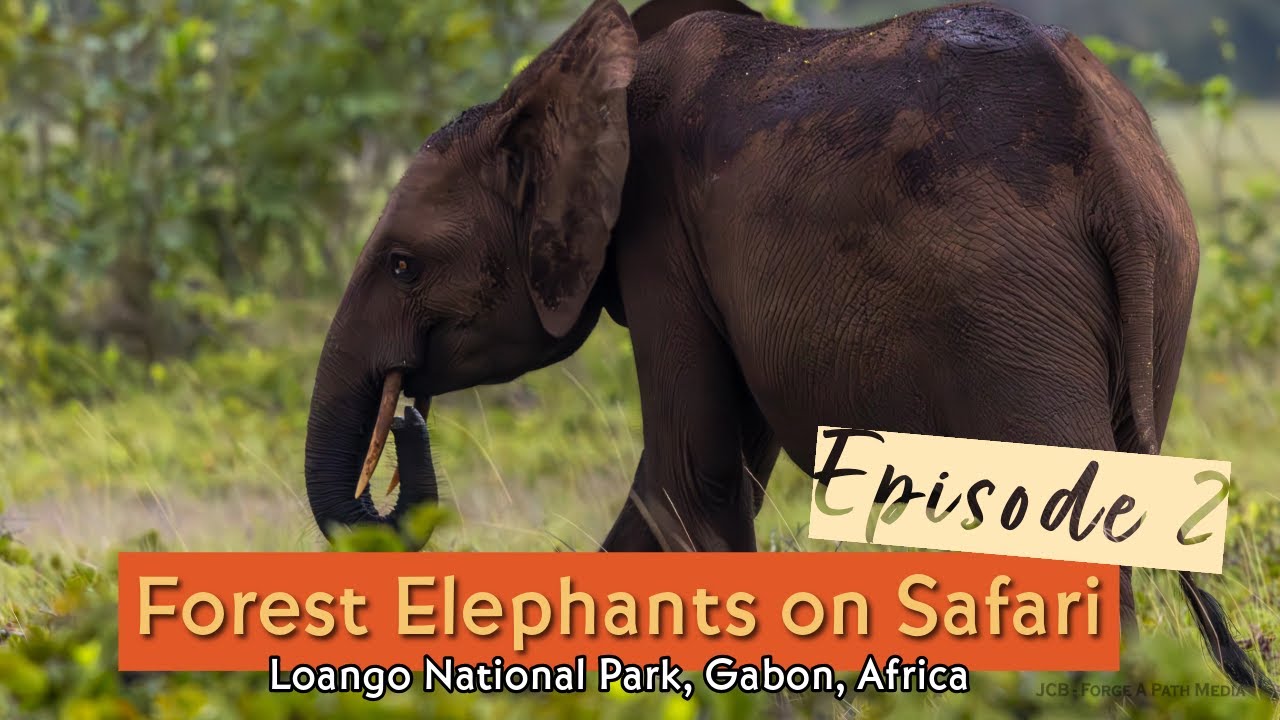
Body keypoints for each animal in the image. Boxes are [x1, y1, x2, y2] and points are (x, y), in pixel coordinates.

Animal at [303, 0, 1276, 697]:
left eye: (401, 265)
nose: (409, 418)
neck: (559, 90)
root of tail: (1112, 163)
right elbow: (709, 476)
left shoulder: (660, 238)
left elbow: (686, 479)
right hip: (1160, 277)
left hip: (1009, 303)